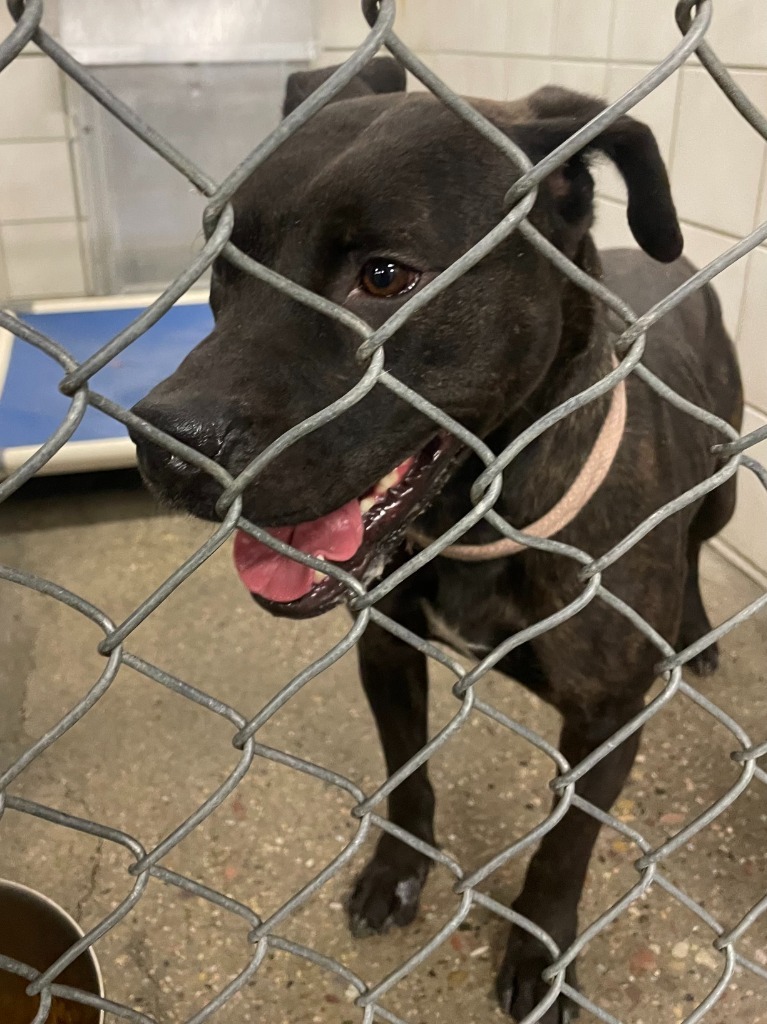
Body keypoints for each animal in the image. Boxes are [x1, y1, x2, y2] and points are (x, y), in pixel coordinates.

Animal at [130, 59, 741, 1019]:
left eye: (384, 276)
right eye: (225, 268)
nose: (163, 443)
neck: (478, 516)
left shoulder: (607, 719)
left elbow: (564, 847)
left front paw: (541, 954)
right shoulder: (386, 651)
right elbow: (406, 776)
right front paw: (396, 871)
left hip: (721, 489)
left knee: (693, 549)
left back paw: (698, 633)